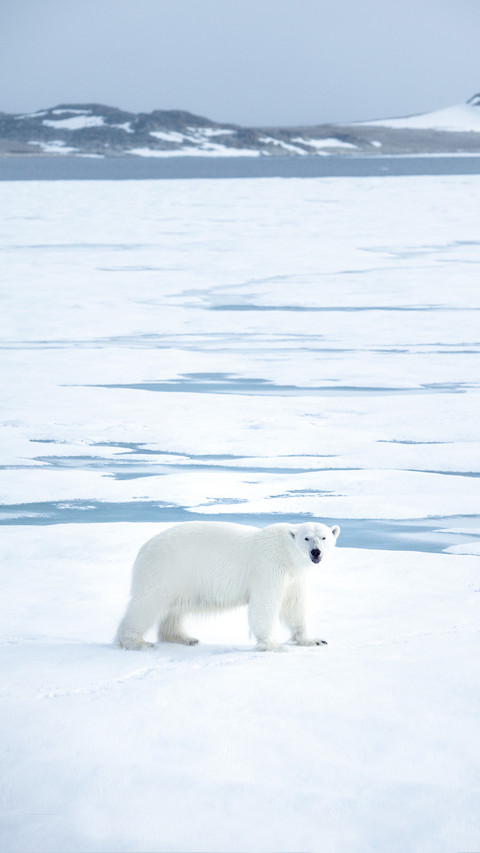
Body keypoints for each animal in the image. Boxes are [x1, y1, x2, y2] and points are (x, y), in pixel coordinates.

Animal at [115, 520, 340, 652]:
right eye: (306, 538)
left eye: (324, 537)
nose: (316, 552)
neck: (285, 551)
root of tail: (143, 548)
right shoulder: (268, 566)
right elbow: (264, 604)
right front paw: (274, 645)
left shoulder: (293, 577)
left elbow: (294, 606)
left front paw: (314, 640)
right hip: (165, 569)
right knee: (148, 603)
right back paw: (136, 642)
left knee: (173, 609)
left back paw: (184, 638)